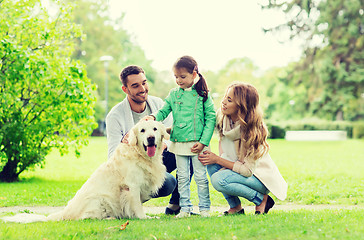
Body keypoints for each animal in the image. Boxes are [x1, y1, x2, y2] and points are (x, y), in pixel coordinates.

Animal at [2, 120, 168, 223]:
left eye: (155, 129)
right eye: (142, 131)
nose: (151, 138)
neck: (141, 155)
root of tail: (65, 212)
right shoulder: (132, 187)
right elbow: (137, 207)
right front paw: (144, 218)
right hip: (99, 200)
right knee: (85, 218)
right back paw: (110, 218)